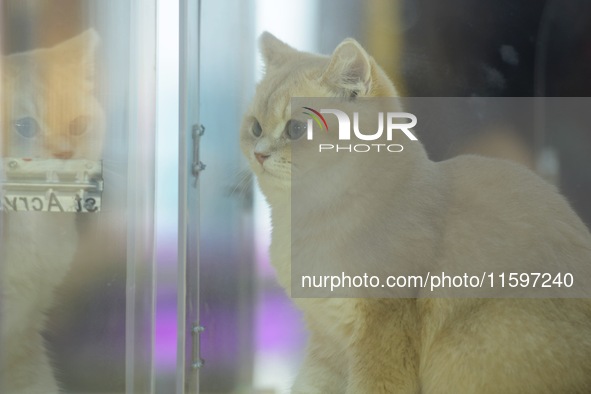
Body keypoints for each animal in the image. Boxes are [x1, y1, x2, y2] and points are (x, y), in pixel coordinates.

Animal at [240, 32, 591, 394]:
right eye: (256, 128)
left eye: (295, 129)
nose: (259, 154)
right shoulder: (327, 341)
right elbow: (311, 383)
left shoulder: (381, 328)